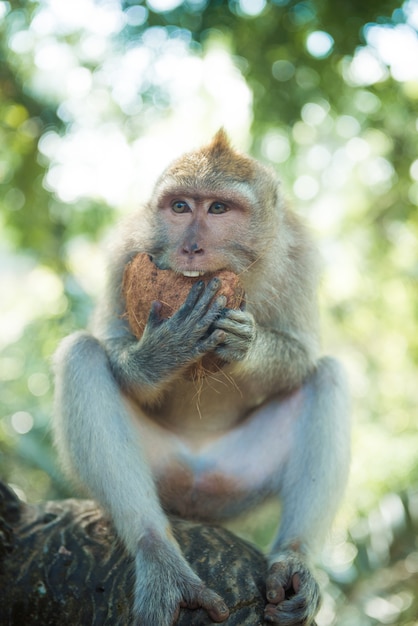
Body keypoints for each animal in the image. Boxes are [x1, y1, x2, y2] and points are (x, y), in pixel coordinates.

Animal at [54, 129, 352, 620]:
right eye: (180, 206)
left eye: (218, 208)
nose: (191, 246)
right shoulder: (125, 250)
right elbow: (112, 343)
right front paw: (160, 354)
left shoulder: (301, 255)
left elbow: (301, 354)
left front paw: (243, 343)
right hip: (165, 473)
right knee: (80, 355)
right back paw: (160, 557)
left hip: (238, 478)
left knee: (329, 377)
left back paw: (293, 562)